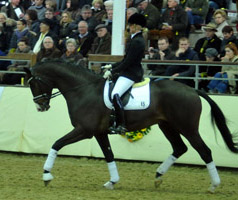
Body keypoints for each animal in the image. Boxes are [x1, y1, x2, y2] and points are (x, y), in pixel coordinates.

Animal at [24, 59, 238, 192]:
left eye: (33, 83)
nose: (40, 106)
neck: (83, 90)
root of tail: (193, 90)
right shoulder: (99, 133)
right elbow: (109, 155)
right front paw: (112, 182)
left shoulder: (84, 130)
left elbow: (56, 144)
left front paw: (46, 176)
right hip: (167, 126)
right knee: (179, 148)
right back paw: (158, 176)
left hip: (187, 127)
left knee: (204, 151)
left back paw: (214, 185)